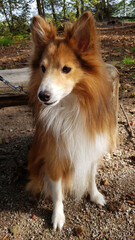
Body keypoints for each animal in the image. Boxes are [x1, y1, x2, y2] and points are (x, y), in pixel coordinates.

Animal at [26, 11, 118, 231]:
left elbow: (91, 175)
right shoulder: (54, 156)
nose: (42, 95)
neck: (70, 107)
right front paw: (58, 216)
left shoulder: (90, 145)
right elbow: (57, 191)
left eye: (66, 69)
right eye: (42, 68)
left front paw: (94, 195)